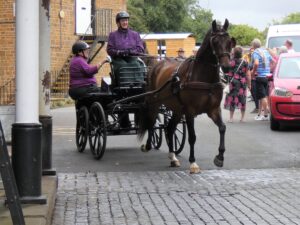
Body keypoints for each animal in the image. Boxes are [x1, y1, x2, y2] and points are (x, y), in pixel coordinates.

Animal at [137, 19, 236, 174]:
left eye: (229, 41)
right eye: (215, 41)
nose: (226, 67)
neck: (204, 79)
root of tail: (157, 64)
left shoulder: (213, 110)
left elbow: (222, 128)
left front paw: (219, 157)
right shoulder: (190, 112)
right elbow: (192, 137)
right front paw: (193, 163)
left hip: (177, 109)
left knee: (169, 128)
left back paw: (172, 157)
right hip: (154, 102)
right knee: (151, 121)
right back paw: (148, 146)